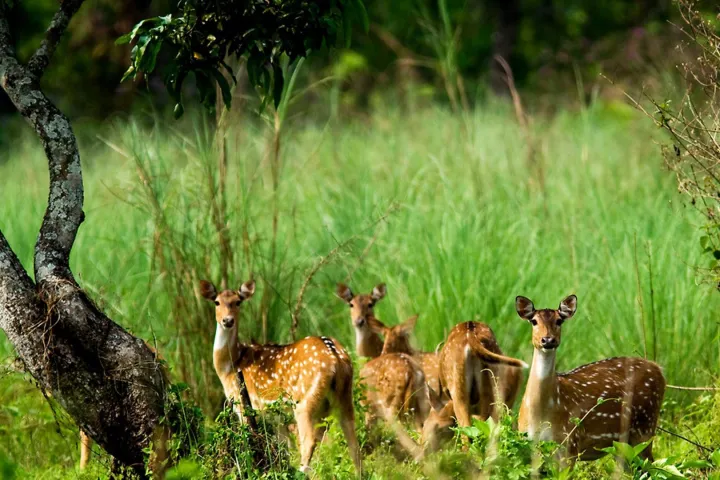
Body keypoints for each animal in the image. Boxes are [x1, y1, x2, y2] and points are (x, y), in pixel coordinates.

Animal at [201, 280, 360, 474]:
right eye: (216, 302)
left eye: (237, 302)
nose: (227, 320)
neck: (231, 366)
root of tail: (335, 356)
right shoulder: (277, 418)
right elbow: (284, 448)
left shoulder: (243, 405)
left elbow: (249, 441)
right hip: (343, 397)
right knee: (353, 442)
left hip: (304, 401)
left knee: (309, 441)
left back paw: (301, 472)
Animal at [422, 318, 528, 450]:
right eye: (424, 424)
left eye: (439, 427)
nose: (423, 446)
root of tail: (471, 339)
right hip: (490, 385)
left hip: (459, 387)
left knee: (468, 430)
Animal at [516, 294, 668, 464]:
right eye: (534, 321)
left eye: (559, 320)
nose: (548, 340)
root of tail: (658, 368)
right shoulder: (528, 443)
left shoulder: (570, 442)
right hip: (623, 444)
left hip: (646, 426)